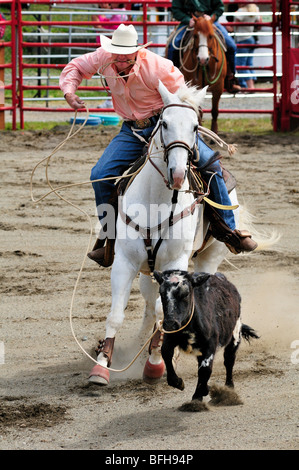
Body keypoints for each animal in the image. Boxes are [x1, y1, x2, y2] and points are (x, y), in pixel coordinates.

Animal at [89, 81, 241, 386]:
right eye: (165, 122)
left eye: (195, 127)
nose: (178, 174)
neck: (156, 202)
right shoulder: (125, 262)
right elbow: (117, 314)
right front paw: (102, 365)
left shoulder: (176, 262)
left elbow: (165, 311)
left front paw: (156, 363)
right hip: (147, 272)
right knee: (149, 308)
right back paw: (139, 345)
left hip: (210, 257)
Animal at [154, 270, 258, 402]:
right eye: (161, 293)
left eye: (186, 293)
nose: (170, 324)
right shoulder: (170, 338)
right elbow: (166, 353)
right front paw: (178, 382)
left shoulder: (210, 344)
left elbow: (205, 369)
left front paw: (199, 395)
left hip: (234, 336)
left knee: (229, 361)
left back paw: (229, 387)